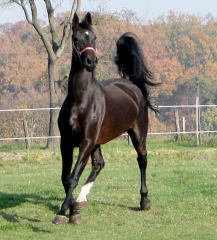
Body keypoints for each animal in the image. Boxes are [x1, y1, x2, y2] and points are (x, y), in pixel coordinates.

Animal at [52, 11, 158, 225]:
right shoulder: (66, 142)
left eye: (94, 37)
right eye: (75, 38)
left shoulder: (85, 142)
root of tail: (131, 84)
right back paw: (81, 199)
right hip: (97, 142)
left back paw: (144, 201)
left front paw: (64, 213)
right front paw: (72, 210)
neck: (80, 100)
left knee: (142, 160)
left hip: (138, 134)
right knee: (99, 164)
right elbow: (66, 178)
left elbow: (72, 177)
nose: (91, 61)